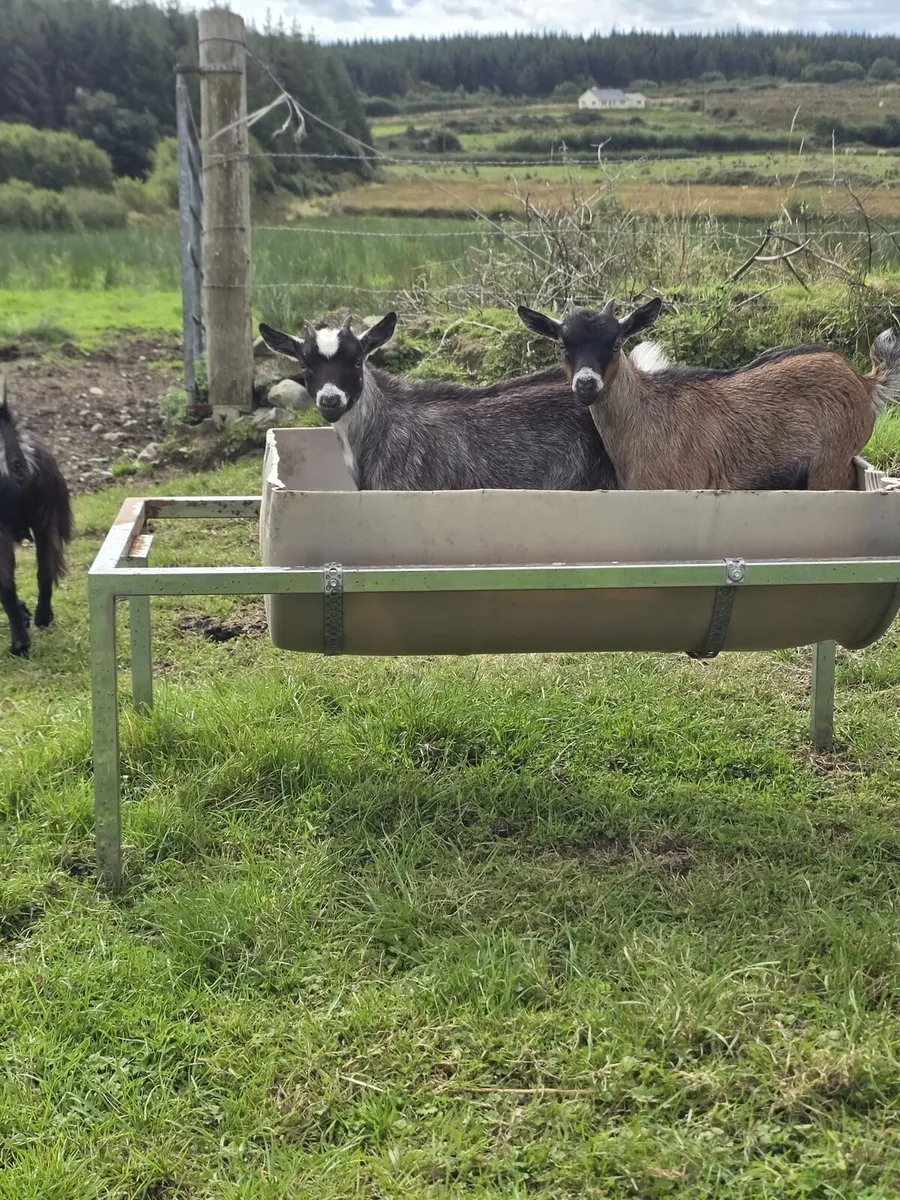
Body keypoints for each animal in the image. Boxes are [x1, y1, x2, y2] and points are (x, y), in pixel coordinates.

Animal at [517, 298, 900, 491]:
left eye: (615, 343)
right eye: (563, 346)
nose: (586, 384)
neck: (645, 416)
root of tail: (863, 381)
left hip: (830, 465)